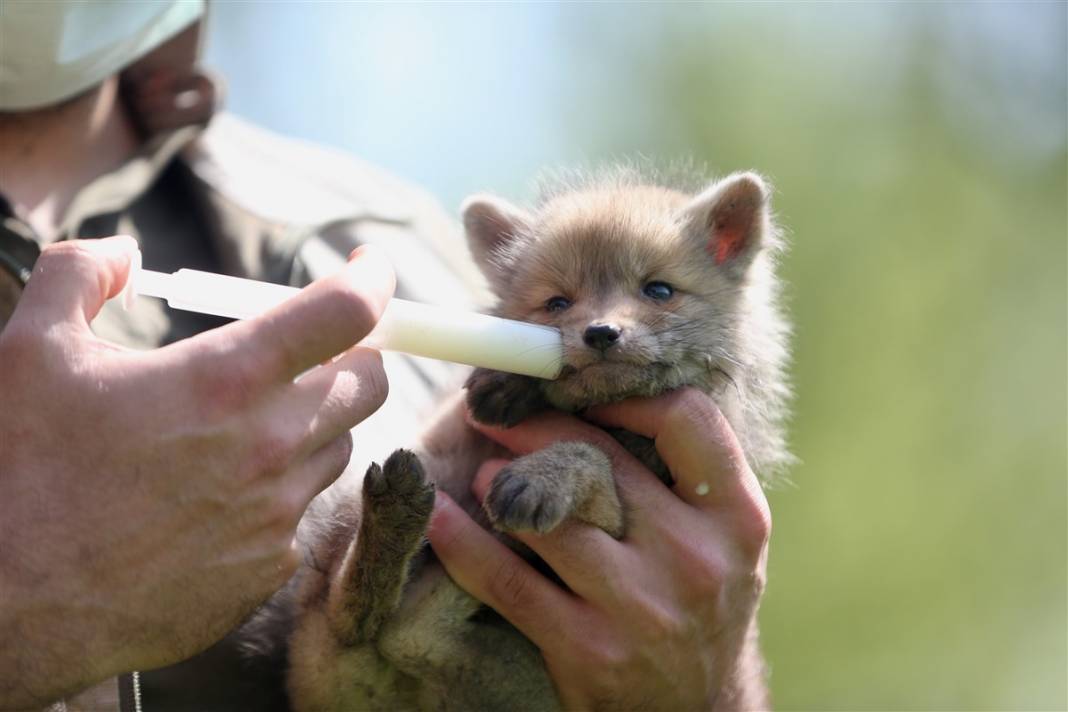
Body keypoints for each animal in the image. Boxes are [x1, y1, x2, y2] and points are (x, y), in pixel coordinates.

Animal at [284, 169, 794, 708]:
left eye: (658, 290)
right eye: (557, 303)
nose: (601, 332)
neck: (605, 416)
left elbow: (591, 455)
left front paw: (546, 474)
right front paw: (512, 382)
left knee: (401, 630)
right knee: (354, 616)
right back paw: (392, 522)